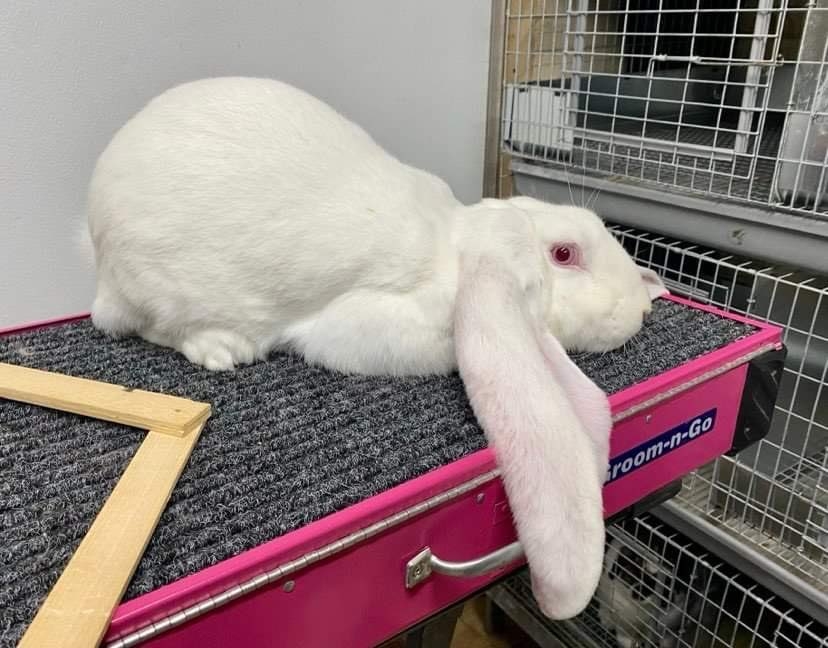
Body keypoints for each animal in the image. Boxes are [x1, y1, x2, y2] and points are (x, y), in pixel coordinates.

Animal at [82, 76, 668, 620]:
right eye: (564, 254)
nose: (643, 308)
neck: (454, 252)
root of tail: (98, 252)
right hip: (156, 289)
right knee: (143, 326)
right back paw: (221, 347)